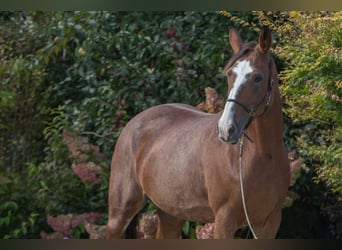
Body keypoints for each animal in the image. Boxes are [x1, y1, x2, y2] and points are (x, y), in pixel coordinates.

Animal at [105, 26, 290, 238]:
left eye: (258, 77)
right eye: (229, 74)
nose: (226, 129)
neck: (263, 157)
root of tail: (133, 122)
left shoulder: (269, 224)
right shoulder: (224, 221)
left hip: (170, 214)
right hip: (120, 213)